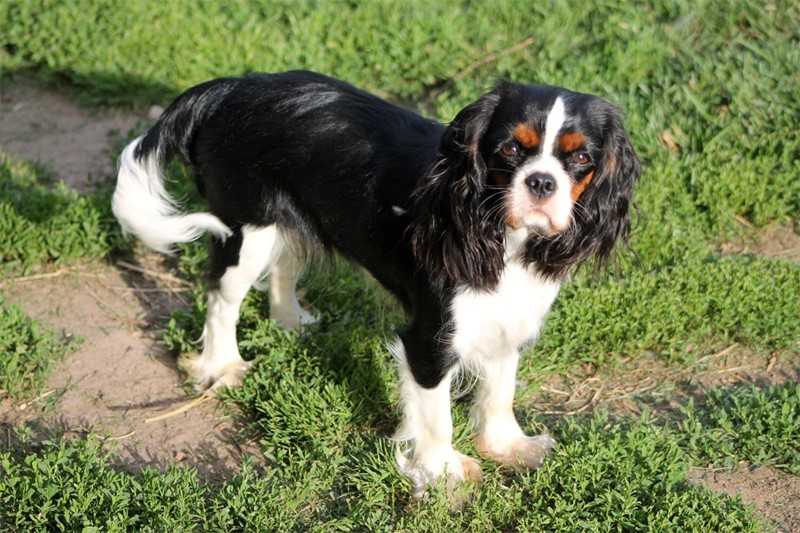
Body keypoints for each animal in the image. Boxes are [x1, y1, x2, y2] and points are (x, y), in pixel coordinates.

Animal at [112, 70, 640, 500]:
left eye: (580, 158)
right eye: (510, 149)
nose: (541, 182)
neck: (506, 238)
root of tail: (231, 87)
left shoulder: (507, 315)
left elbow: (500, 390)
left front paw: (508, 447)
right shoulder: (429, 340)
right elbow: (437, 416)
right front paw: (443, 477)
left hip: (287, 222)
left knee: (285, 266)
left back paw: (291, 322)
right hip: (246, 229)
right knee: (223, 299)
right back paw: (223, 367)